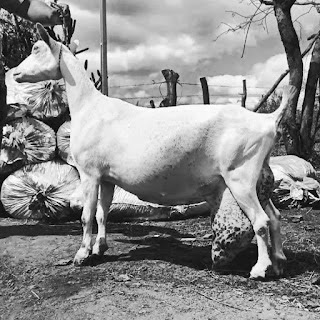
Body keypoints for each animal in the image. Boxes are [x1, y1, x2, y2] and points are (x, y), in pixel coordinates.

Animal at [13, 24, 294, 280]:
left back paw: (260, 269)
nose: (14, 72)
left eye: (37, 49)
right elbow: (103, 213)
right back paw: (279, 262)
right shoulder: (107, 177)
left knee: (261, 221)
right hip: (260, 176)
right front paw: (100, 248)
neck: (90, 108)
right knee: (275, 216)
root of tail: (268, 120)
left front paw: (82, 255)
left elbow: (87, 215)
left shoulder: (89, 172)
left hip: (240, 176)